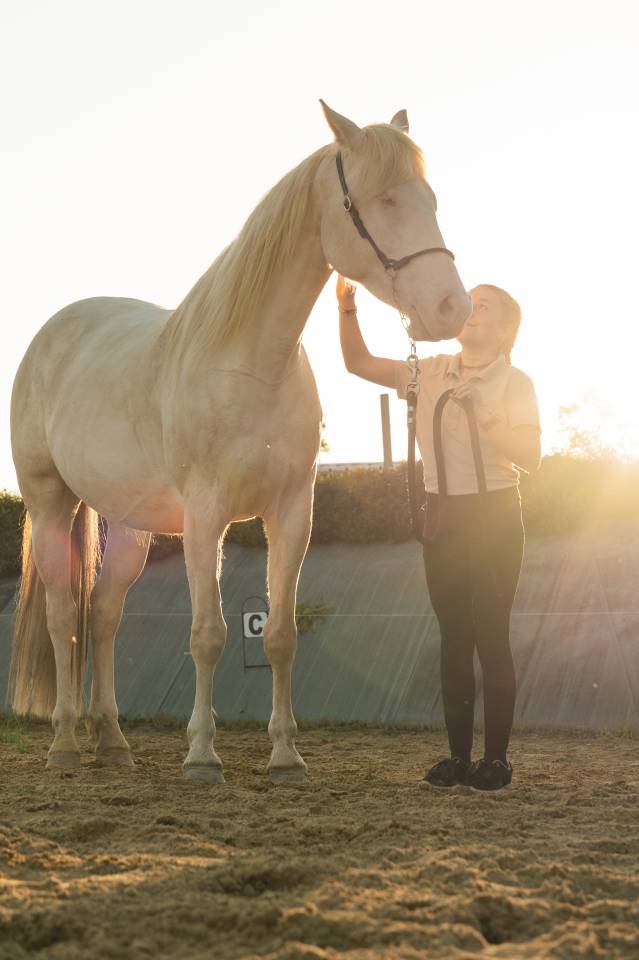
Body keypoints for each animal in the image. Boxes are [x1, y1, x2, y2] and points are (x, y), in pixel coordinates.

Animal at [9, 101, 470, 782]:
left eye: (430, 198)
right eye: (384, 198)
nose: (450, 310)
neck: (252, 365)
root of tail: (53, 333)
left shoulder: (292, 513)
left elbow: (280, 634)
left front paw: (285, 755)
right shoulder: (207, 519)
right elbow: (208, 634)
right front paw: (202, 755)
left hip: (129, 529)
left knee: (104, 617)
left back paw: (113, 742)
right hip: (49, 506)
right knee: (63, 617)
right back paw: (65, 744)